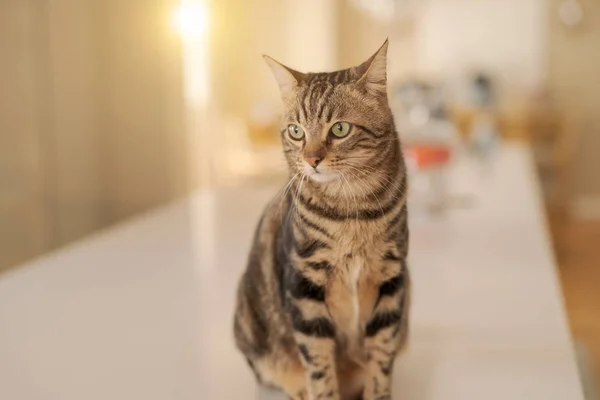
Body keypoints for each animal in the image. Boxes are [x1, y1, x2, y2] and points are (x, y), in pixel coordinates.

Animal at [233, 39, 408, 400]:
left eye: (339, 129)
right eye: (296, 131)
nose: (311, 159)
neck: (352, 209)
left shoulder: (393, 277)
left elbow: (382, 359)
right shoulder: (304, 283)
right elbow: (318, 364)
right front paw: (322, 388)